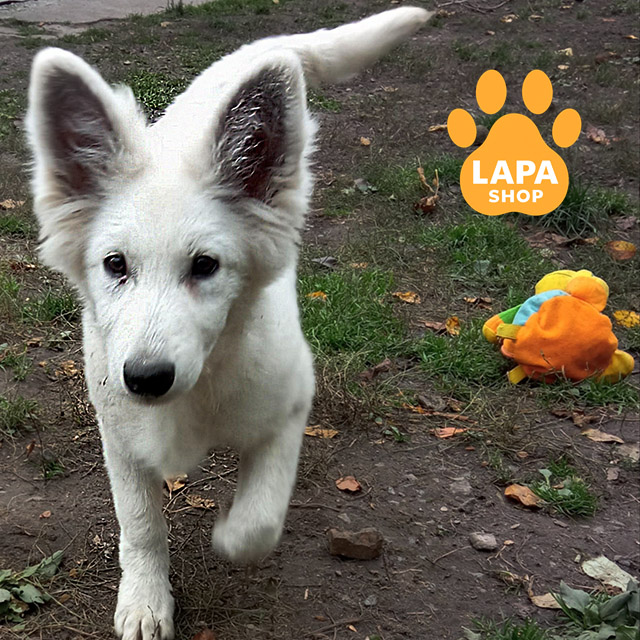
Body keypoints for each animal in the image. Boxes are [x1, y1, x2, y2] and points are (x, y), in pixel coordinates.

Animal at [26, 7, 431, 639]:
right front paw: (146, 600)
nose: (146, 379)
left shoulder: (291, 405)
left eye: (205, 266)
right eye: (115, 265)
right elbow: (140, 526)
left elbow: (257, 523)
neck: (201, 384)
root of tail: (250, 54)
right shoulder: (119, 436)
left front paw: (227, 527)